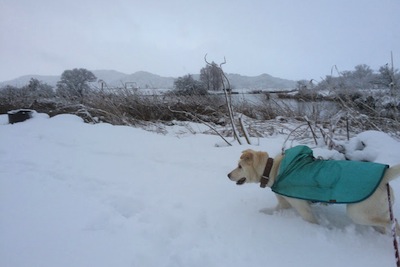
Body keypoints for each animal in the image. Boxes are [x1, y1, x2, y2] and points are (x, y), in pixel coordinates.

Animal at [227, 149, 400, 234]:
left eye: (239, 166)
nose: (228, 175)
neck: (273, 170)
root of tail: (385, 176)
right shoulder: (284, 204)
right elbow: (272, 210)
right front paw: (262, 213)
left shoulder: (303, 208)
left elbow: (311, 221)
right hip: (375, 212)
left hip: (358, 213)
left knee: (394, 223)